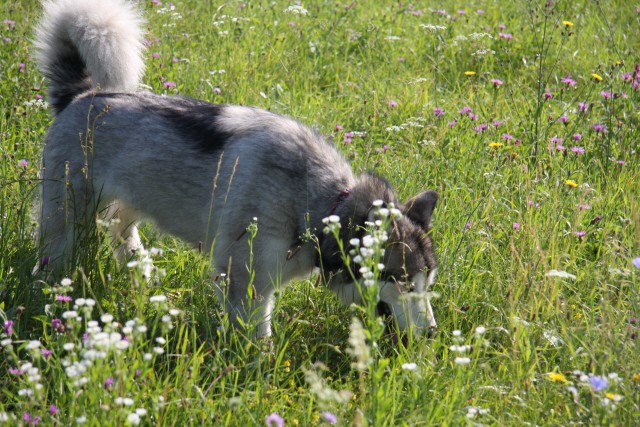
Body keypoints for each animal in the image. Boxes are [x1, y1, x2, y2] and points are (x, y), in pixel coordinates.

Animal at [32, 0, 438, 338]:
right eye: (402, 282)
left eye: (427, 282)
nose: (433, 333)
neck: (323, 205)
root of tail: (81, 96)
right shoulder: (245, 281)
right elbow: (257, 340)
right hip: (67, 218)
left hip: (127, 205)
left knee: (123, 236)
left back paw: (142, 273)